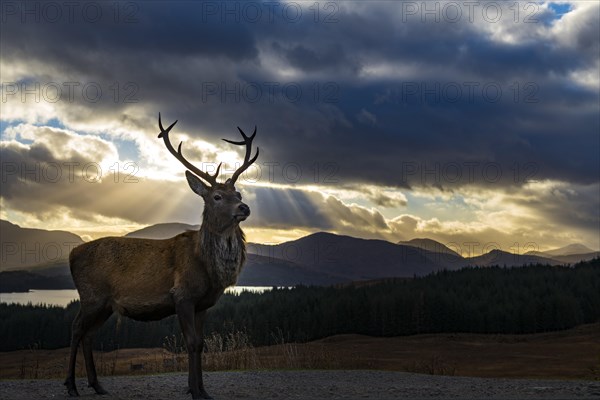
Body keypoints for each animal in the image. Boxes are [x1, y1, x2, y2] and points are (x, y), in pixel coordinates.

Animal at [64, 114, 258, 398]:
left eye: (239, 193)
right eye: (217, 196)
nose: (244, 208)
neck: (208, 268)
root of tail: (71, 254)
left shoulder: (203, 304)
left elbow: (200, 343)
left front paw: (201, 390)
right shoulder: (182, 295)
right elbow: (191, 342)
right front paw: (194, 390)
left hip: (106, 304)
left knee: (89, 334)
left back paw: (97, 385)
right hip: (91, 295)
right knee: (76, 328)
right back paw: (71, 385)